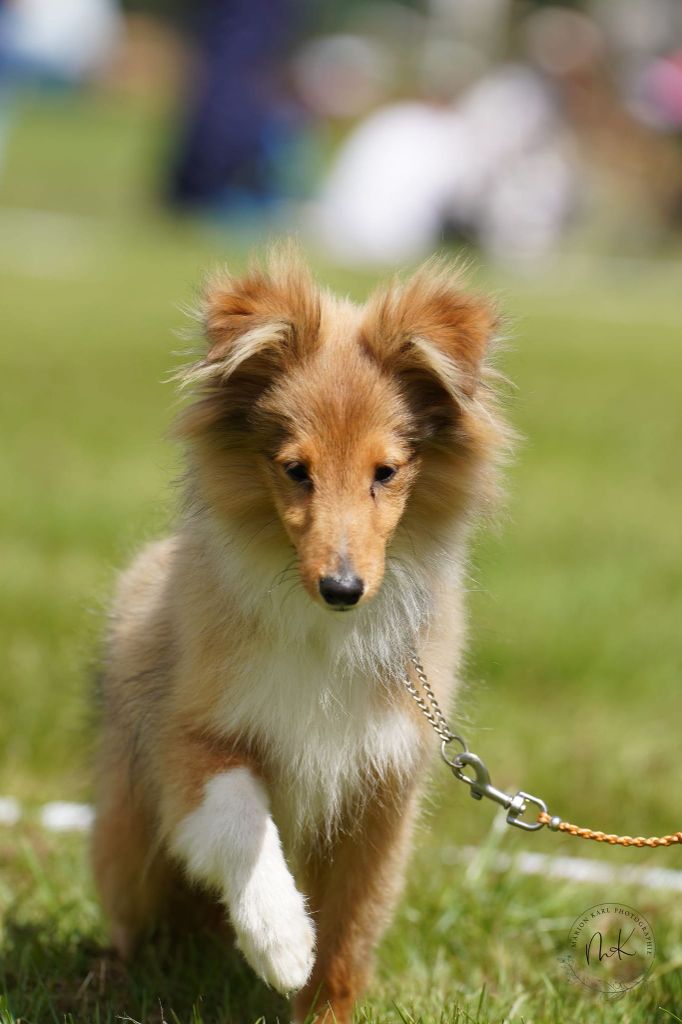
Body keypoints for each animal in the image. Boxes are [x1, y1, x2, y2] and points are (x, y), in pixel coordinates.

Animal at [89, 245, 503, 1024]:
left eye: (386, 472)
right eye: (294, 470)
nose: (342, 589)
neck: (323, 634)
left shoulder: (380, 792)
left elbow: (348, 932)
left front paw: (318, 998)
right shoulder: (188, 734)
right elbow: (239, 817)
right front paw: (280, 942)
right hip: (127, 843)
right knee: (136, 918)